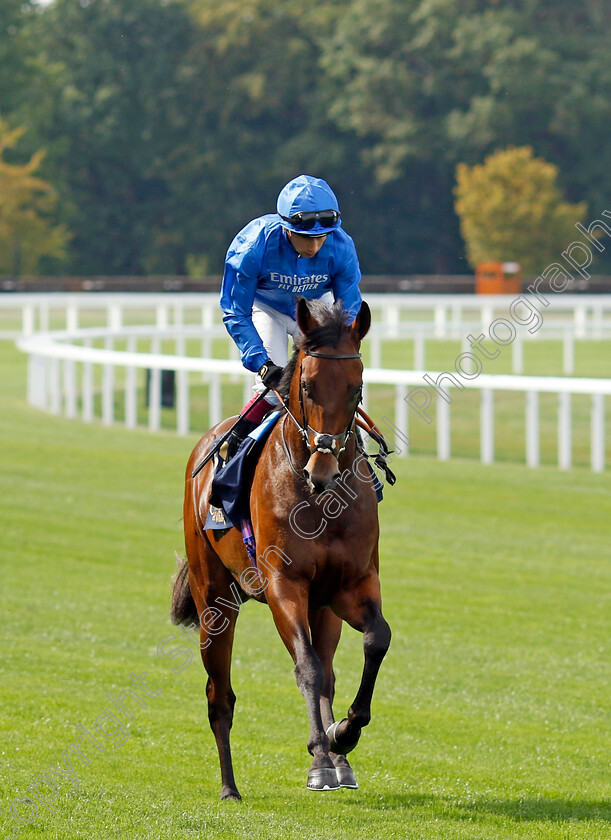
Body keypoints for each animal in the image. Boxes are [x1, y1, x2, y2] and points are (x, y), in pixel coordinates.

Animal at [172, 296, 392, 800]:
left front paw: (342, 735)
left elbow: (375, 640)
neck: (321, 502)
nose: (322, 471)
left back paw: (338, 760)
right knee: (220, 696)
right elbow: (305, 666)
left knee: (328, 670)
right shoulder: (282, 585)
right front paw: (320, 755)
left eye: (358, 388)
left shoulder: (351, 585)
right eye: (307, 386)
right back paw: (230, 787)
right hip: (213, 600)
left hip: (323, 607)